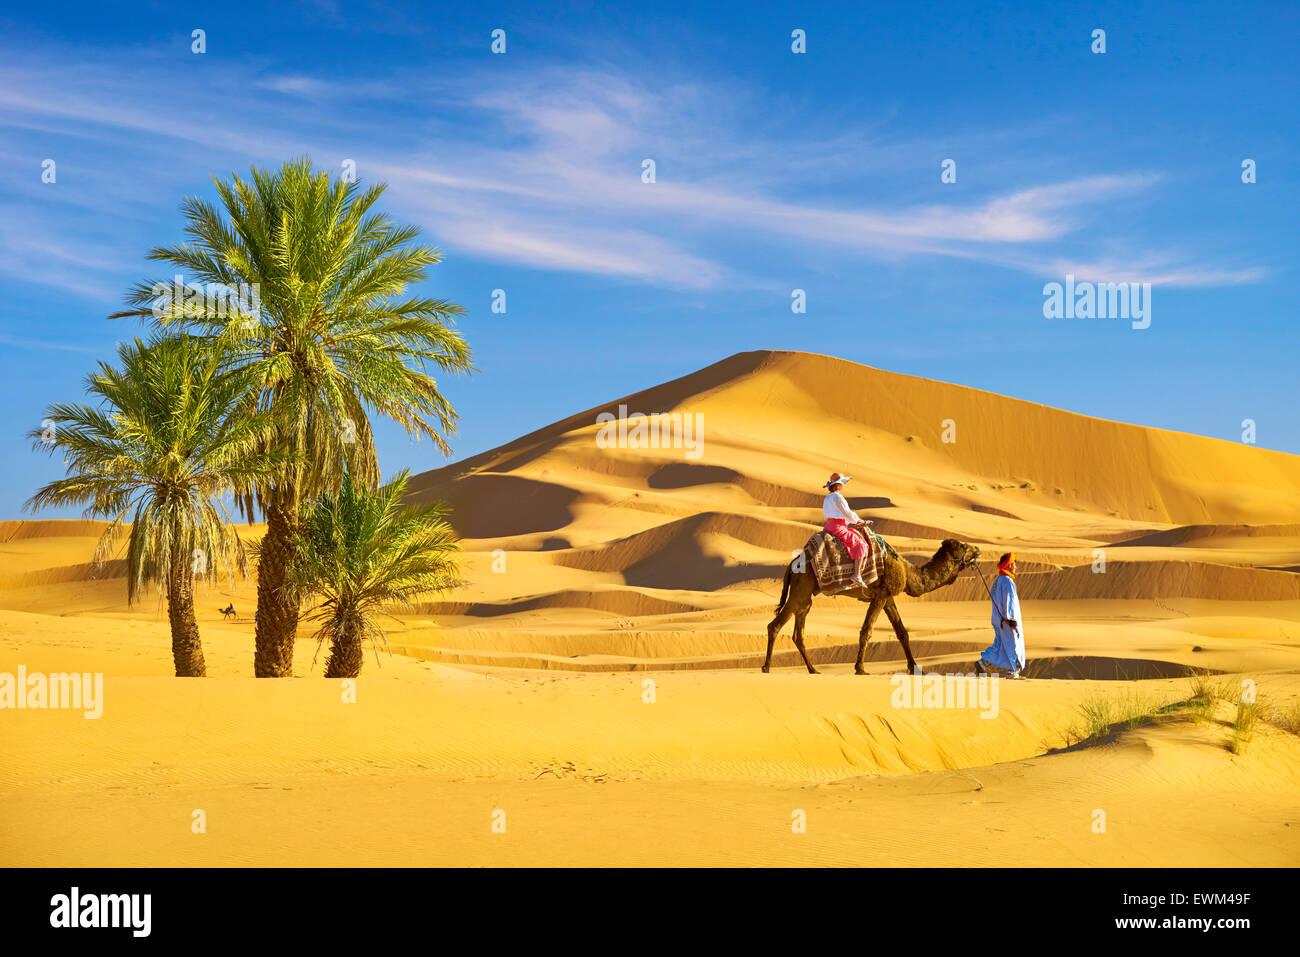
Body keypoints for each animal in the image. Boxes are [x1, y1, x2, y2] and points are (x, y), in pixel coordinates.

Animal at [759, 535, 977, 676]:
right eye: (963, 546)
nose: (978, 549)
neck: (908, 573)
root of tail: (792, 564)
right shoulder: (880, 596)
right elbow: (867, 631)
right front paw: (860, 668)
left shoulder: (888, 597)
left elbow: (902, 633)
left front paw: (915, 668)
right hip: (800, 590)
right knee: (774, 625)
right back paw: (766, 667)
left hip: (805, 597)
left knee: (798, 632)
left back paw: (813, 669)